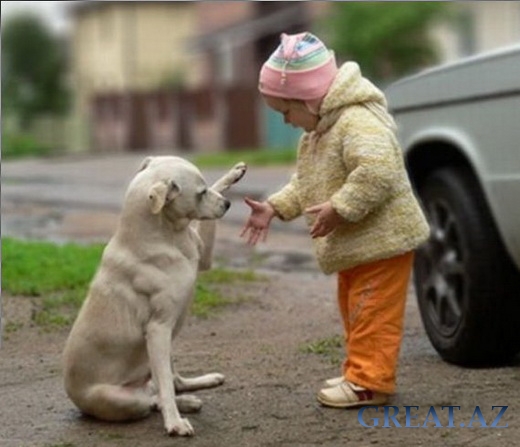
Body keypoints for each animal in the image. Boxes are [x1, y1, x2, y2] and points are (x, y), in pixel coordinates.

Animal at [62, 157, 247, 438]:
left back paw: (197, 389)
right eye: (200, 193)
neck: (166, 234)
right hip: (126, 398)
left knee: (172, 382)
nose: (227, 204)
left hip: (164, 351)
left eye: (206, 188)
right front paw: (175, 423)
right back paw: (179, 408)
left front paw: (234, 174)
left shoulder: (203, 258)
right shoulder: (158, 329)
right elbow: (166, 392)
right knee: (155, 397)